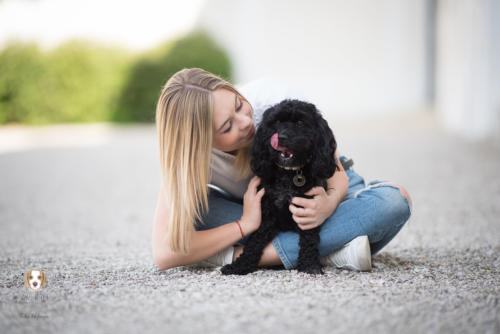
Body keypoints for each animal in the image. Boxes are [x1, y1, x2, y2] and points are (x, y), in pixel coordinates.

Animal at [223, 98, 340, 274]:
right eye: (276, 122)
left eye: (300, 123)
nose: (282, 137)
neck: (289, 175)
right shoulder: (267, 212)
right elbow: (255, 241)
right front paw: (240, 265)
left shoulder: (309, 210)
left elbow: (309, 239)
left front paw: (309, 265)